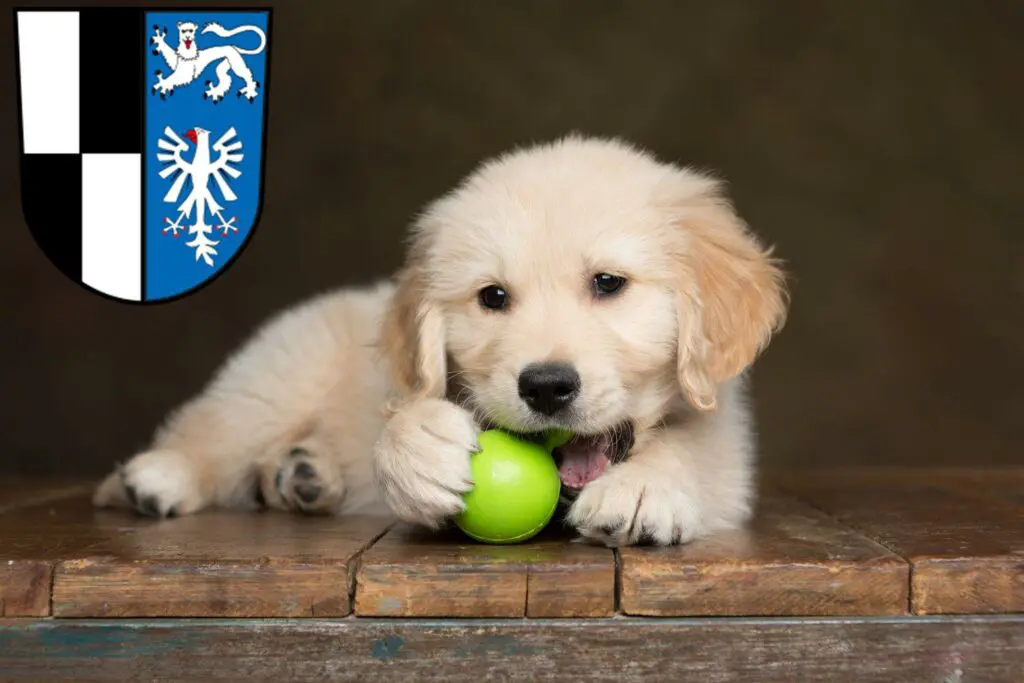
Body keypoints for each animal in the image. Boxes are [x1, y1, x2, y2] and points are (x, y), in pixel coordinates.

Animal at [94, 136, 782, 548]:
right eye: (493, 297)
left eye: (608, 283)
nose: (546, 386)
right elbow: (403, 419)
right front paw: (417, 449)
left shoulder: (731, 450)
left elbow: (695, 450)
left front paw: (643, 487)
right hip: (280, 372)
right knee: (215, 428)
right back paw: (161, 476)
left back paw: (304, 476)